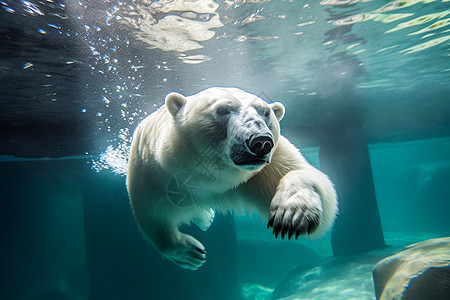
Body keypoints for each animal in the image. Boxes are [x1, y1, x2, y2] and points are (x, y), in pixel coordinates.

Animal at [126, 86, 338, 270]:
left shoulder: (263, 168)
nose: (261, 141)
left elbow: (314, 185)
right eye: (222, 110)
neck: (209, 177)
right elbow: (151, 213)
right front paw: (189, 254)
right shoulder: (154, 172)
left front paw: (292, 214)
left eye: (266, 112)